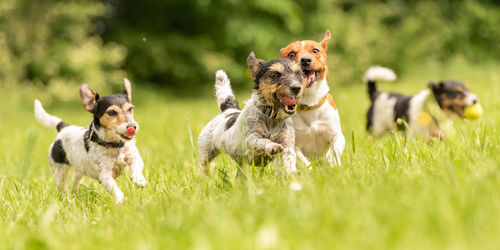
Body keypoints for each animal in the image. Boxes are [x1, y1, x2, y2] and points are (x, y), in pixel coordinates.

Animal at [280, 30, 346, 168]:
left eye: (315, 50)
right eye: (291, 54)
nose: (305, 60)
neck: (309, 103)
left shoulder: (337, 134)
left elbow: (335, 148)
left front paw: (331, 161)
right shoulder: (293, 143)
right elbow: (300, 158)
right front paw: (309, 168)